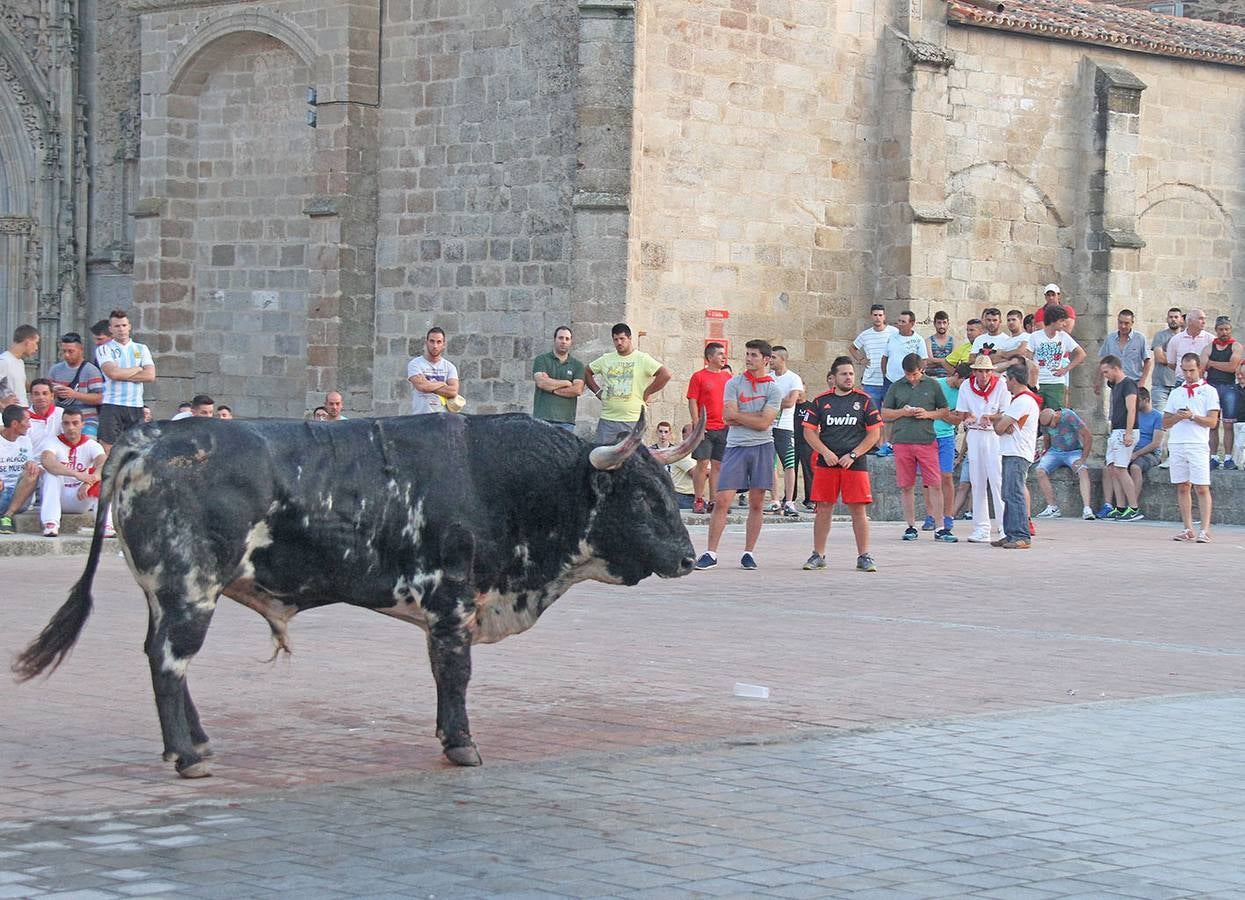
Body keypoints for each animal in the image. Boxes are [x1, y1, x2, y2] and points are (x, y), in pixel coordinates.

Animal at [12, 410, 702, 776]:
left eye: (668, 487)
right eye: (644, 495)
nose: (691, 557)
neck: (501, 480)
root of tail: (152, 437)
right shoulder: (452, 601)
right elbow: (455, 674)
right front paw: (462, 744)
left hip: (166, 594)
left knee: (162, 657)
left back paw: (194, 743)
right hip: (189, 588)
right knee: (168, 661)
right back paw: (188, 755)